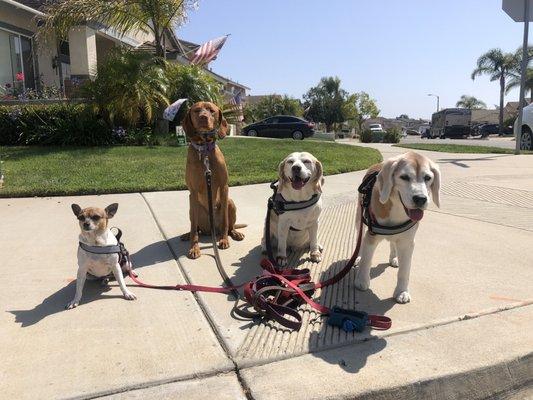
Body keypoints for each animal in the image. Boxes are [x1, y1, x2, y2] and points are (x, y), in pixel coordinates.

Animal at [180, 101, 244, 260]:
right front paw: (194, 247)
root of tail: (210, 230)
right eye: (196, 110)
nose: (203, 117)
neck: (204, 150)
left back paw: (234, 233)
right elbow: (193, 229)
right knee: (195, 227)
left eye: (211, 110)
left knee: (229, 226)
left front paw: (224, 240)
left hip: (230, 202)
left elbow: (225, 222)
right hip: (192, 206)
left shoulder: (224, 187)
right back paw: (187, 234)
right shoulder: (193, 192)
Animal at [354, 151, 440, 304]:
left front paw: (402, 291)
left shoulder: (407, 243)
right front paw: (361, 281)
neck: (398, 210)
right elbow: (366, 261)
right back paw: (358, 256)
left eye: (428, 178)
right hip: (360, 220)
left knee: (393, 243)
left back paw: (394, 258)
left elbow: (405, 271)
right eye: (404, 177)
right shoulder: (371, 237)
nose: (420, 199)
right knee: (360, 239)